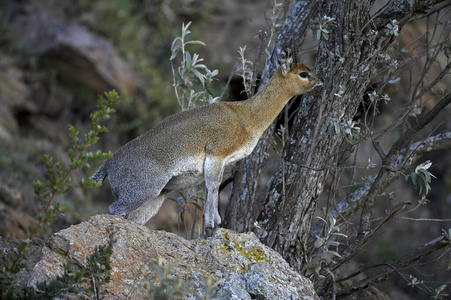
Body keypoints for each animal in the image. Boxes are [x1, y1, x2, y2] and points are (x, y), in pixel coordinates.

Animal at [91, 48, 322, 237]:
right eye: (304, 73)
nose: (320, 82)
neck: (246, 117)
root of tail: (107, 165)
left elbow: (215, 187)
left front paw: (216, 225)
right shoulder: (216, 154)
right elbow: (212, 187)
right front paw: (211, 226)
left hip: (155, 198)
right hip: (143, 191)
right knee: (114, 210)